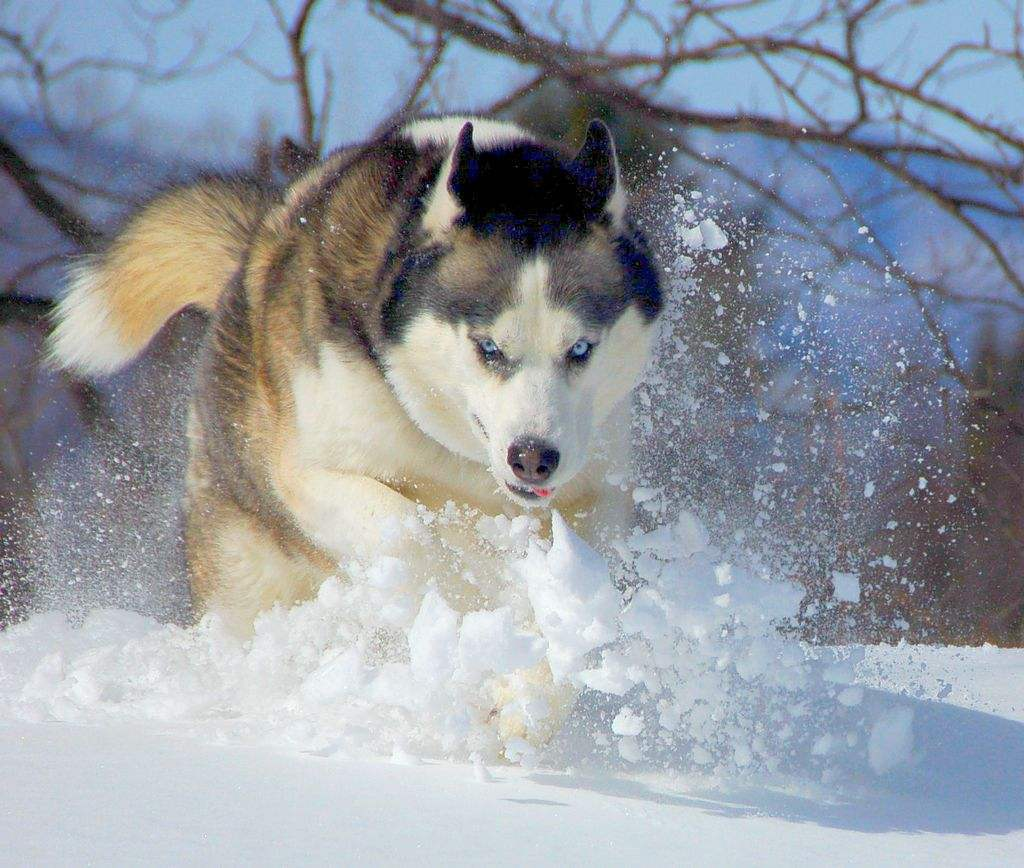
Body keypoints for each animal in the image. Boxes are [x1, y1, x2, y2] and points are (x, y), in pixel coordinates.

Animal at [51, 115, 663, 736]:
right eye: (488, 347)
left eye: (581, 348)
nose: (534, 457)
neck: (457, 457)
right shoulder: (308, 476)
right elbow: (408, 531)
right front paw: (466, 603)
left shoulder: (595, 491)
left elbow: (581, 595)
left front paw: (524, 699)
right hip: (245, 577)